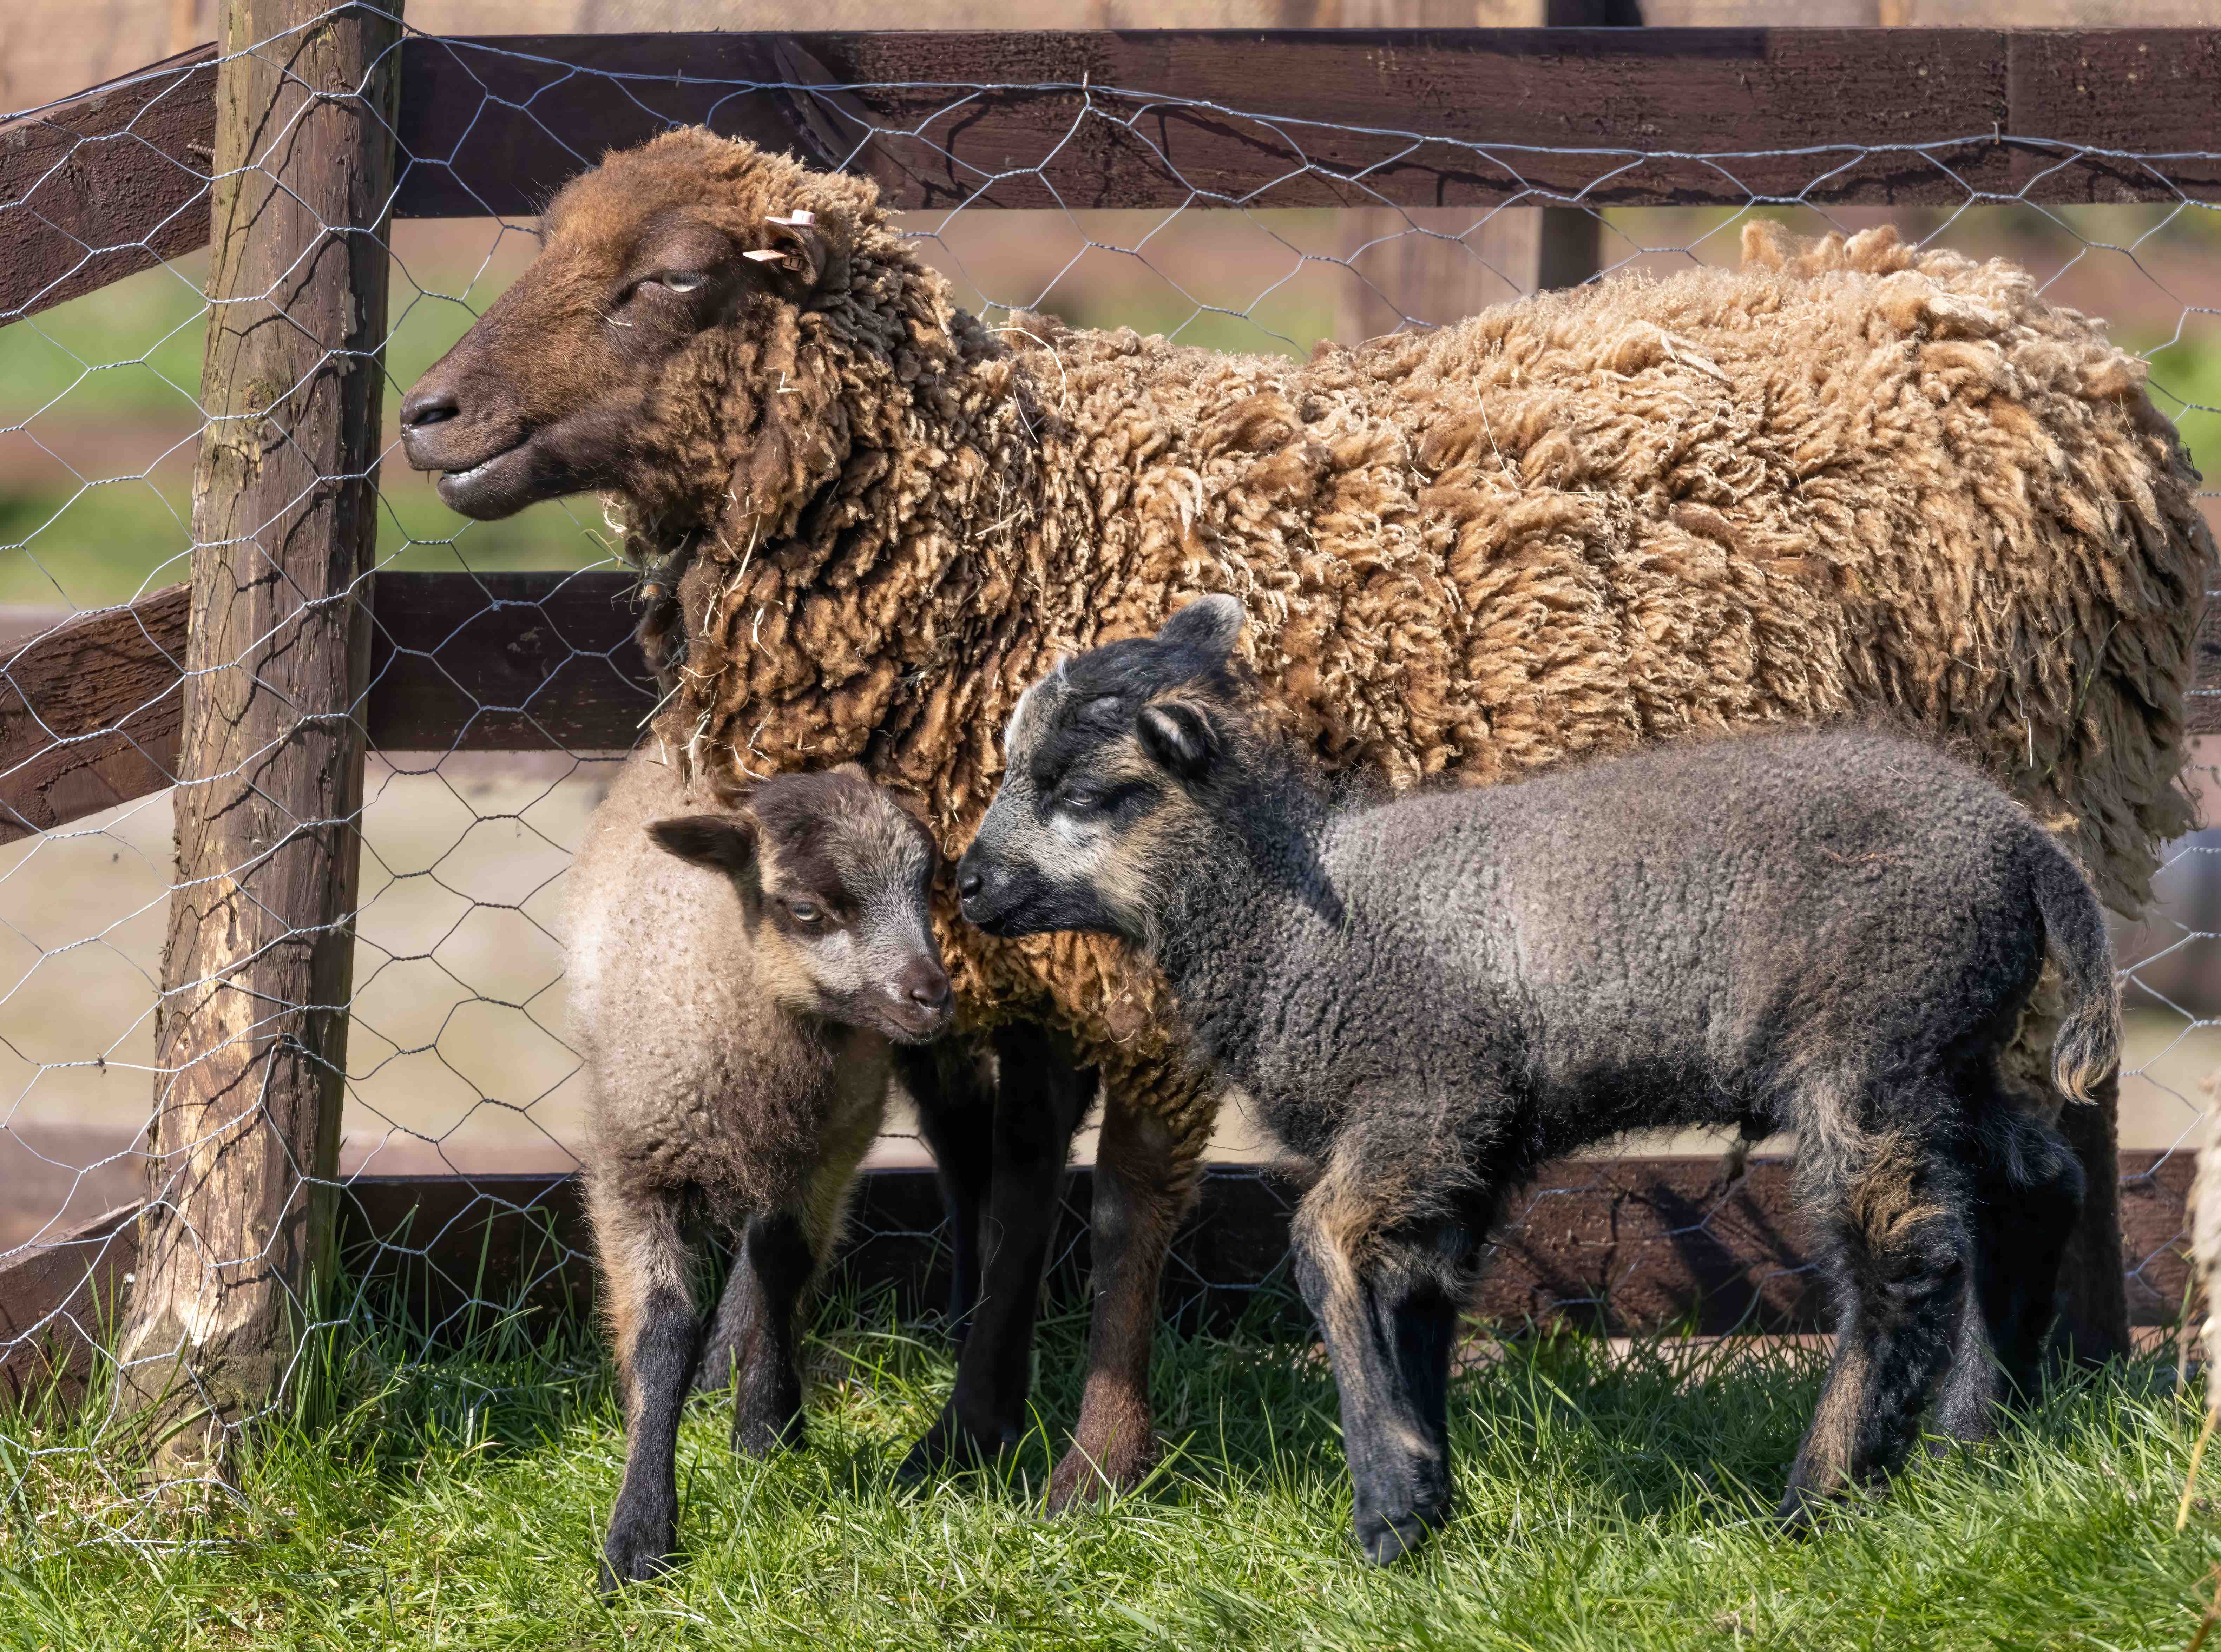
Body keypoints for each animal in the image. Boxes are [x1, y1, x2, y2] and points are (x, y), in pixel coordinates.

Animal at [569, 749, 1091, 1588]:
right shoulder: (634, 1164)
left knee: (962, 1147)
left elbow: (784, 1266)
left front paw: (767, 1428)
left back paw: (962, 1312)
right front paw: (639, 1537)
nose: (930, 995)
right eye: (808, 910)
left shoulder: (830, 1148)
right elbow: (663, 1332)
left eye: (926, 885)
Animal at [958, 595, 2118, 1559]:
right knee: (2030, 1187)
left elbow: (1322, 1250)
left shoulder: (1423, 1098)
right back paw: (1971, 1442)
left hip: (1866, 1043)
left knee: (1901, 1267)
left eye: (1084, 792)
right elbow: (1414, 1297)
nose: (967, 885)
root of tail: (2022, 845)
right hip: (1947, 1047)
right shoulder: (1465, 1146)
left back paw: (1815, 1500)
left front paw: (1384, 1503)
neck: (1288, 919)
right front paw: (1423, 1504)